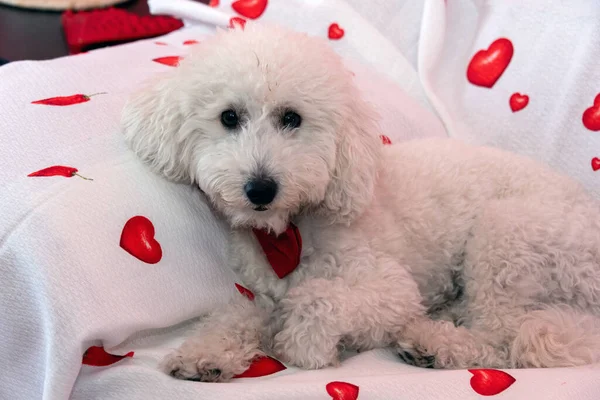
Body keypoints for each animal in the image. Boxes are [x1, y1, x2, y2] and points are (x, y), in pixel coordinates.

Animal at [122, 24, 600, 382]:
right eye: (228, 117)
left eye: (292, 118)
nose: (260, 188)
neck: (291, 230)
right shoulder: (262, 293)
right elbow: (237, 312)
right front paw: (206, 353)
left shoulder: (392, 290)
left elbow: (318, 300)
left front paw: (305, 344)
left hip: (506, 235)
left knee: (503, 337)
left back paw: (435, 343)